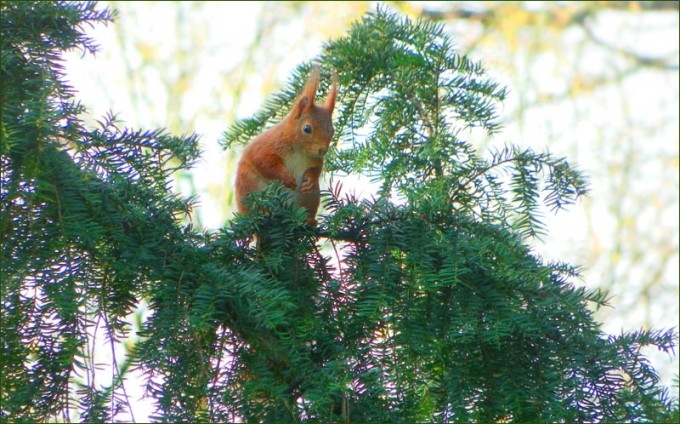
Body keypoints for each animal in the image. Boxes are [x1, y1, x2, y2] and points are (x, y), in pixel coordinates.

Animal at [235, 67, 337, 226]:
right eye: (307, 128)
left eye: (332, 131)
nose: (323, 150)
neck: (299, 150)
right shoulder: (267, 145)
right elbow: (263, 162)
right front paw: (286, 178)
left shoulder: (314, 159)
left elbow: (316, 169)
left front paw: (311, 179)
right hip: (250, 187)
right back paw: (263, 214)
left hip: (310, 197)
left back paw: (308, 221)